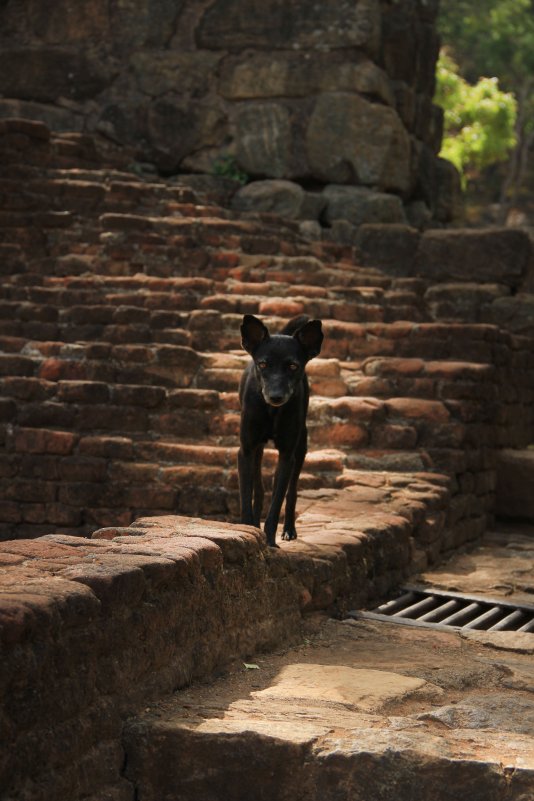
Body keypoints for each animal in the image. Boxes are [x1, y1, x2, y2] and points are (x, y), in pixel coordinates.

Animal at [240, 312, 324, 544]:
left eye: (293, 366)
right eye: (263, 364)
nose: (276, 396)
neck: (272, 411)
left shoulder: (287, 455)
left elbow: (278, 500)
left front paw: (270, 539)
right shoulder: (246, 450)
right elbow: (247, 493)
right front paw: (248, 529)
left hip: (302, 447)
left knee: (292, 491)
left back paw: (288, 529)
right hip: (258, 450)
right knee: (258, 488)